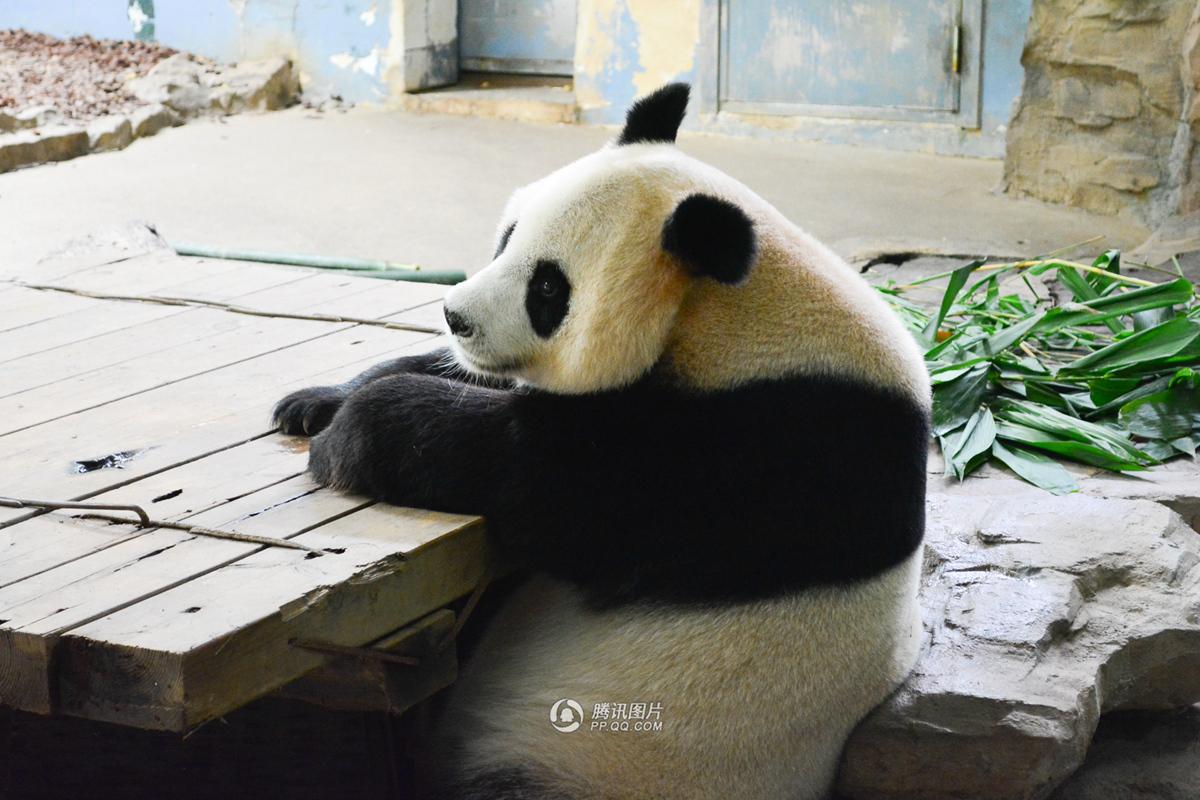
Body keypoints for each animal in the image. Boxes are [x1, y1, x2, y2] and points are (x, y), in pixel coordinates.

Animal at [273, 83, 931, 800]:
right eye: (508, 236)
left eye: (547, 288)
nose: (455, 315)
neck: (731, 311)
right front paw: (313, 405)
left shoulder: (769, 452)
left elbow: (543, 472)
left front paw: (350, 435)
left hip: (589, 764)